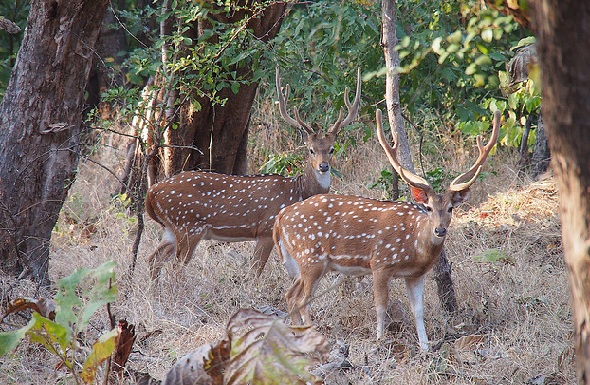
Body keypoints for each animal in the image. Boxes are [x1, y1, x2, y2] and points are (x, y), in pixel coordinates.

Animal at [146, 67, 364, 280]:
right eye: (311, 149)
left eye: (332, 149)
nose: (323, 166)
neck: (299, 191)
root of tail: (152, 192)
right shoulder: (266, 229)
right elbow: (255, 271)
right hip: (188, 225)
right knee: (175, 268)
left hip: (171, 229)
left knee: (153, 259)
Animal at [276, 109, 502, 352]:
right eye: (428, 207)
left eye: (451, 208)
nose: (440, 230)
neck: (414, 246)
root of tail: (281, 217)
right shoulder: (380, 263)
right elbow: (381, 306)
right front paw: (380, 340)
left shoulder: (416, 275)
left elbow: (418, 310)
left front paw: (425, 347)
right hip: (310, 256)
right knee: (303, 300)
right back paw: (312, 336)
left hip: (310, 261)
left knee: (290, 295)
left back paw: (297, 335)